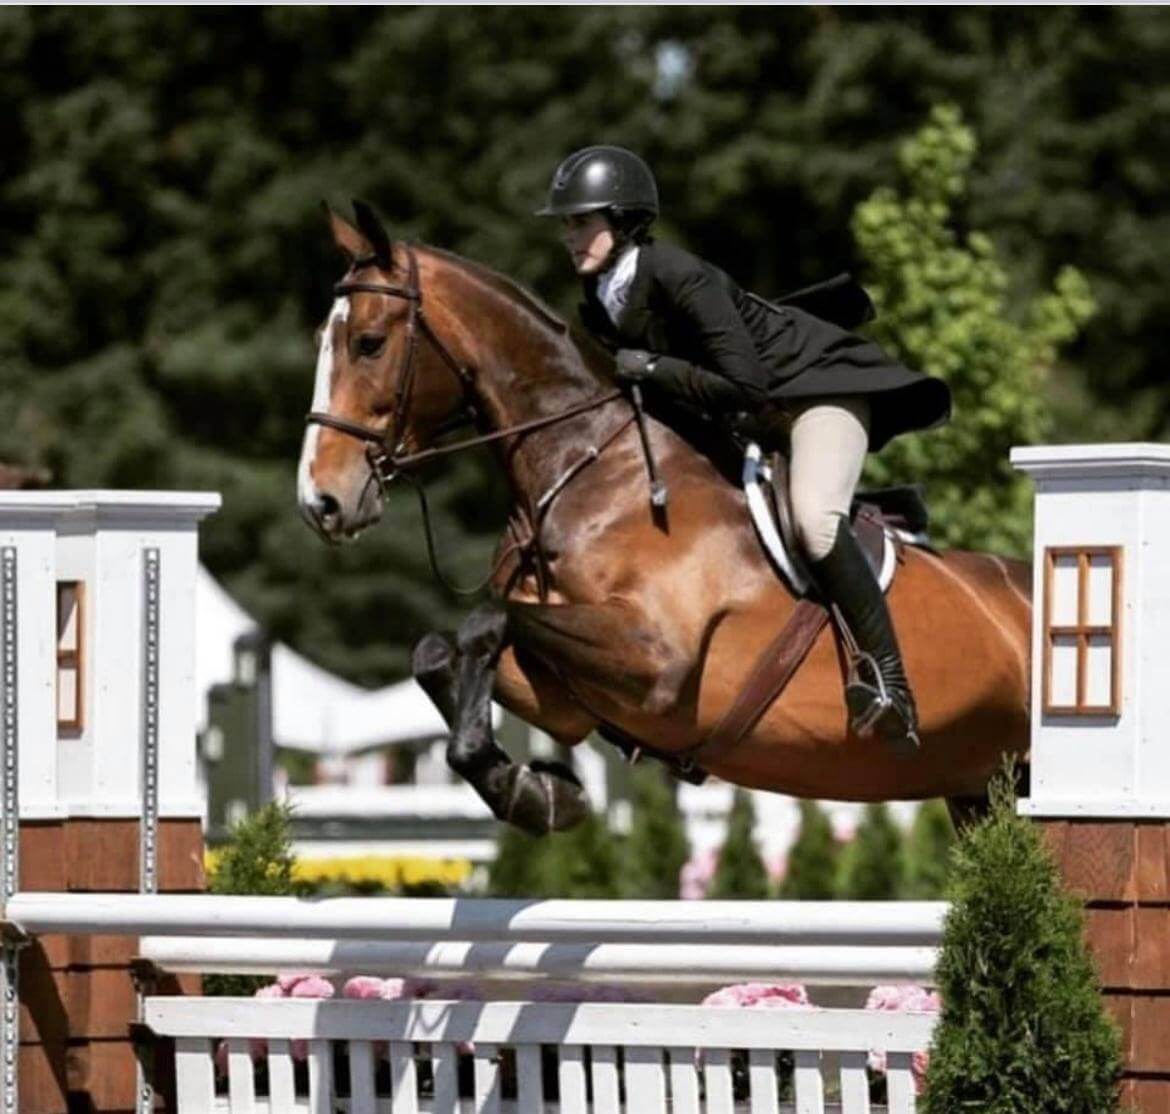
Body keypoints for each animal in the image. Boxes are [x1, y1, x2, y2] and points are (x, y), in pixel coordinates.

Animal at [298, 203, 1032, 835]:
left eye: (368, 343)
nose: (320, 501)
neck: (591, 469)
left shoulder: (656, 662)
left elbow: (487, 620)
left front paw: (524, 786)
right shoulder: (568, 700)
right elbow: (433, 651)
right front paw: (539, 793)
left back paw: (889, 703)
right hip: (982, 792)